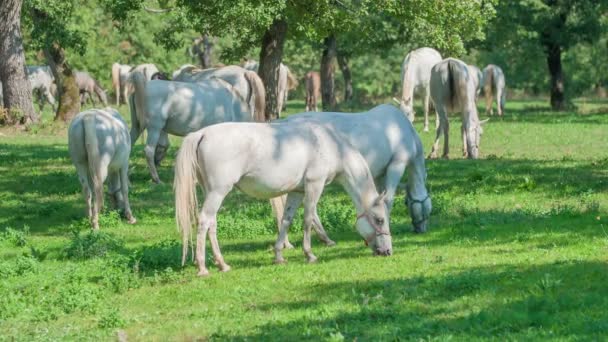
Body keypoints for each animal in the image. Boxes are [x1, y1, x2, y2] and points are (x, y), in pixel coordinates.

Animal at [175, 119, 394, 276]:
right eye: (379, 220)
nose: (387, 252)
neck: (331, 145)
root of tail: (202, 133)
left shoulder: (296, 192)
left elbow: (286, 220)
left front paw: (279, 255)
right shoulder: (314, 185)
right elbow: (308, 219)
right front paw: (309, 254)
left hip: (212, 193)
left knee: (212, 223)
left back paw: (222, 264)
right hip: (218, 192)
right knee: (205, 221)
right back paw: (203, 267)